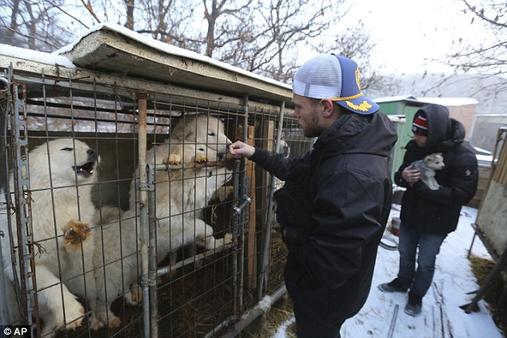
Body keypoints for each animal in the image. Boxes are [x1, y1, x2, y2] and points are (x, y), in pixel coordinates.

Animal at [0, 139, 98, 336]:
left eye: (86, 146)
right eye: (67, 148)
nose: (93, 151)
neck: (59, 200)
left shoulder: (76, 266)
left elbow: (80, 252)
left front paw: (76, 236)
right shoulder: (28, 266)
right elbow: (53, 285)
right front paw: (69, 311)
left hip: (87, 283)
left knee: (96, 300)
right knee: (50, 319)